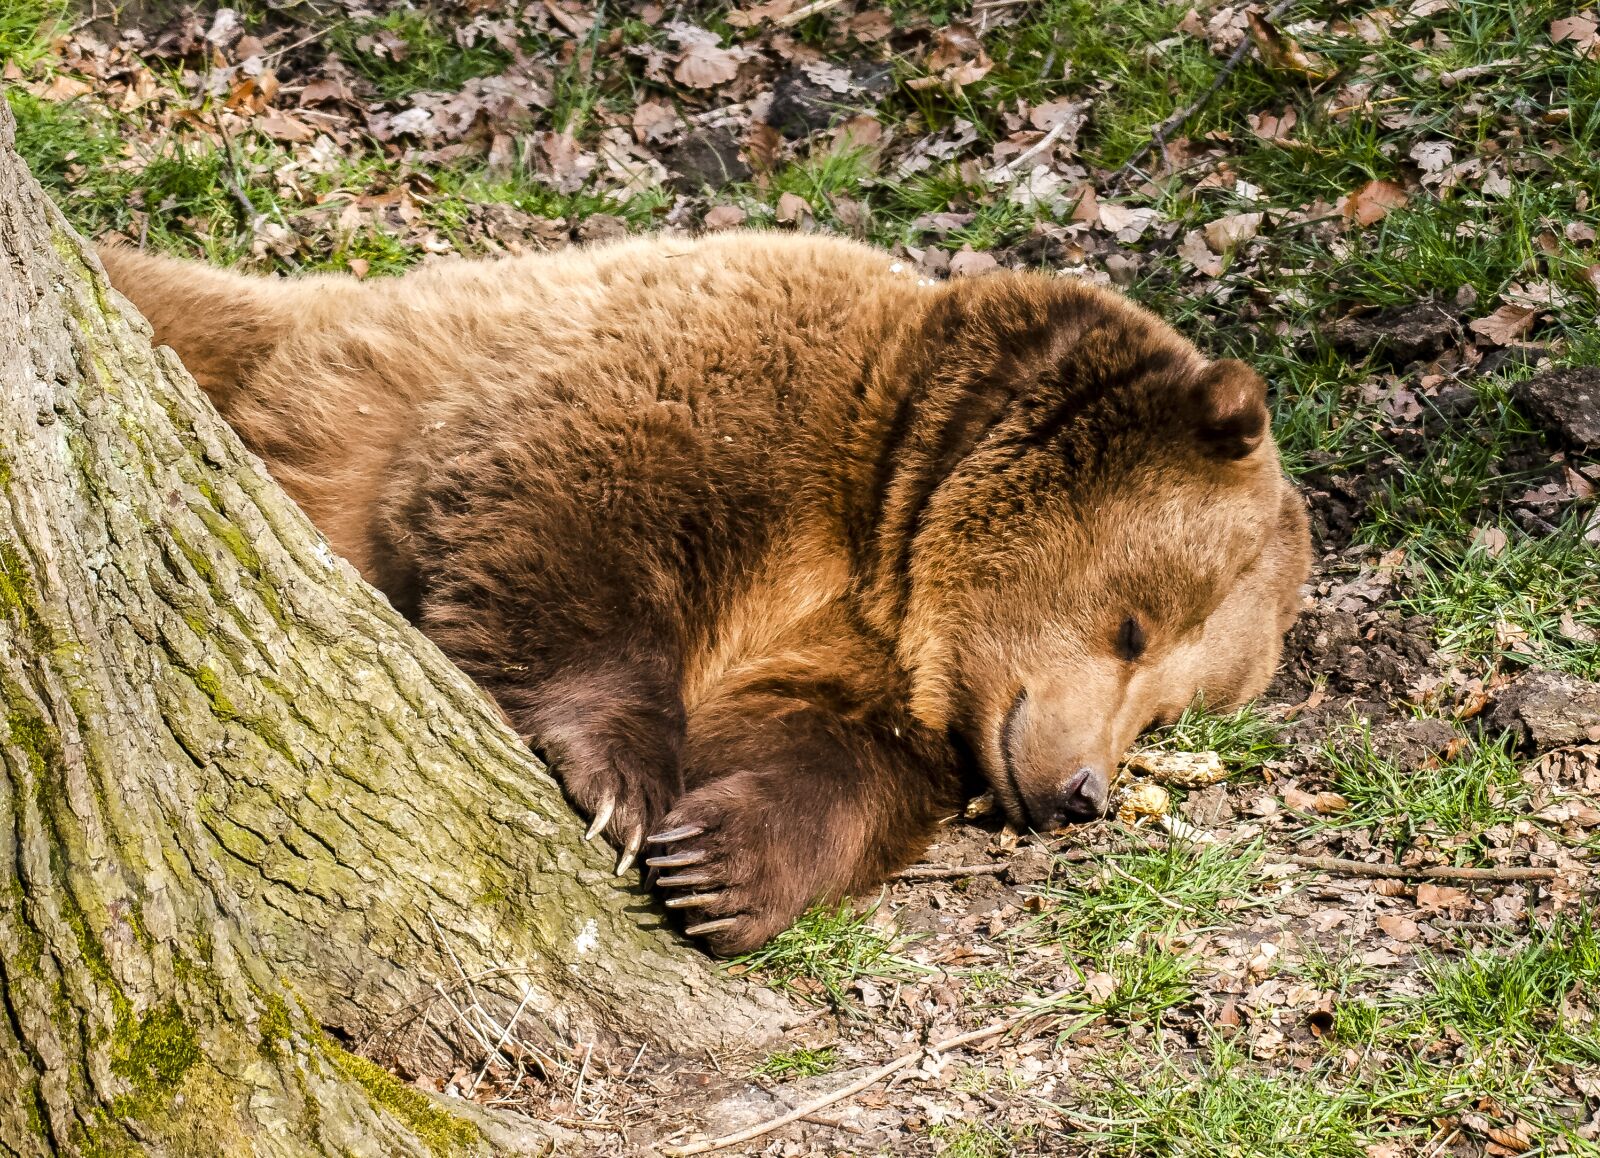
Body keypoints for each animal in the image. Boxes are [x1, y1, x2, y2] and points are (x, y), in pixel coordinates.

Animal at [97, 232, 1311, 956]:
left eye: (1171, 709)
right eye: (1134, 625)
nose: (1079, 792)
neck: (890, 524)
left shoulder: (860, 659)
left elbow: (824, 755)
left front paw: (718, 871)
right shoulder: (727, 397)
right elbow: (567, 524)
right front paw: (621, 784)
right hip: (245, 351)